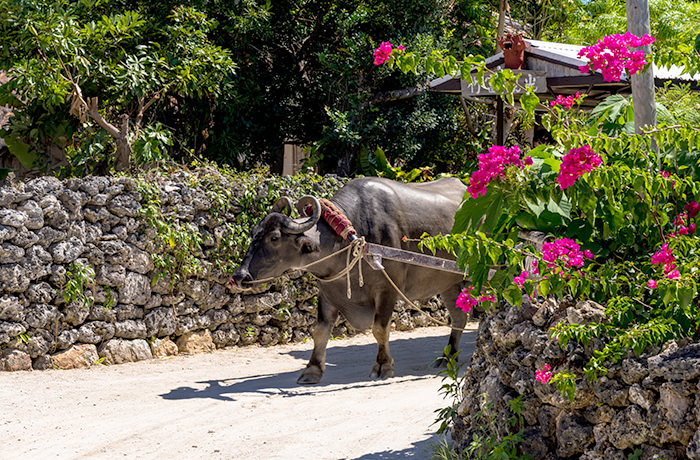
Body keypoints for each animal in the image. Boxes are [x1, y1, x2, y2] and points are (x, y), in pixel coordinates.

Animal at [232, 177, 468, 384]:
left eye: (274, 238)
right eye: (254, 233)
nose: (239, 277)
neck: (350, 241)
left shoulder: (387, 289)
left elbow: (380, 328)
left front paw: (383, 366)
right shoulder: (328, 291)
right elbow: (320, 331)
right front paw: (312, 370)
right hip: (450, 285)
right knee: (459, 319)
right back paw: (448, 357)